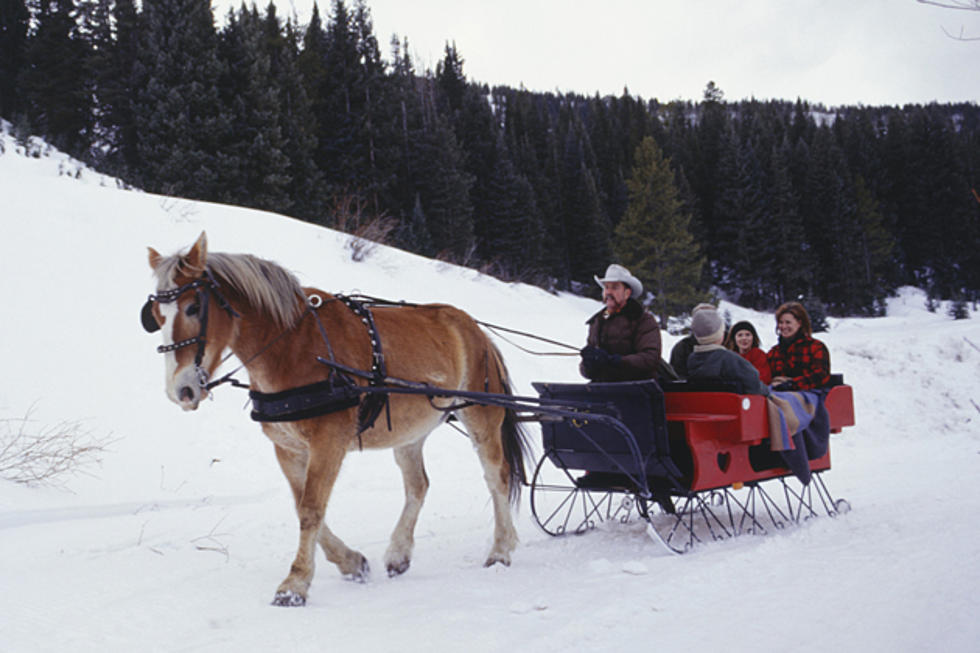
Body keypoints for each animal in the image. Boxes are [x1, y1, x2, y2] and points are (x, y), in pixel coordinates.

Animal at [145, 230, 528, 608]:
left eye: (194, 307)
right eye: (156, 316)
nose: (181, 390)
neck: (294, 348)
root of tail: (476, 330)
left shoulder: (329, 442)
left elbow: (311, 509)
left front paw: (295, 584)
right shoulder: (288, 448)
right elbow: (303, 505)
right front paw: (351, 562)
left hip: (481, 418)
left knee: (497, 477)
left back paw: (501, 549)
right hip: (409, 434)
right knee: (418, 485)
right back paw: (399, 553)